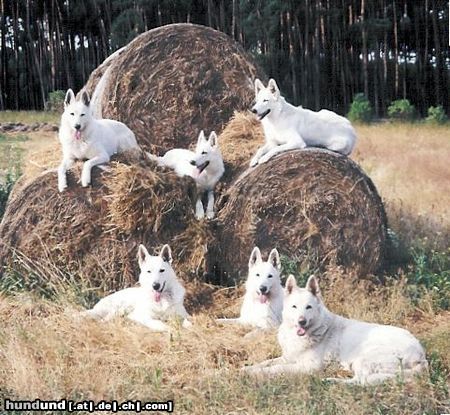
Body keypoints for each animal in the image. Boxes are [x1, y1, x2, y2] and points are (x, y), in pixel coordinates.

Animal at [243, 274, 428, 386]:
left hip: (363, 358)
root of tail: (421, 354)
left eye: (308, 307)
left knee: (361, 381)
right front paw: (248, 369)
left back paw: (330, 380)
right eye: (294, 307)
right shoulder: (287, 357)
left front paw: (258, 373)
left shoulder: (309, 366)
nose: (301, 322)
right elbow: (266, 362)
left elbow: (277, 368)